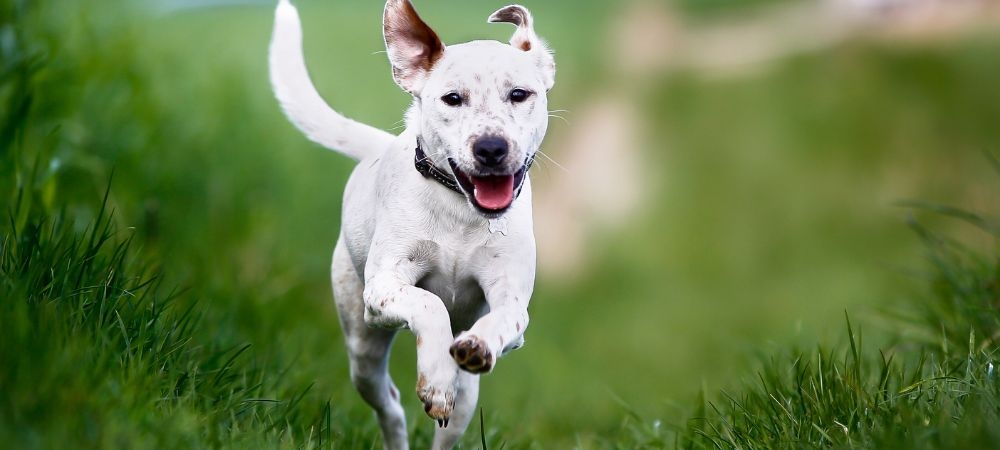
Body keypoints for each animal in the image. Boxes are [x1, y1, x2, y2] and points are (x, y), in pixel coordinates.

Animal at [268, 1, 556, 448]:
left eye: (519, 94)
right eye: (452, 98)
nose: (491, 147)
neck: (460, 208)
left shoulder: (510, 299)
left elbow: (506, 318)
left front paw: (476, 346)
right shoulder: (385, 287)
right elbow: (430, 303)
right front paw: (435, 379)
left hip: (466, 402)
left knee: (451, 419)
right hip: (363, 346)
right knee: (389, 404)